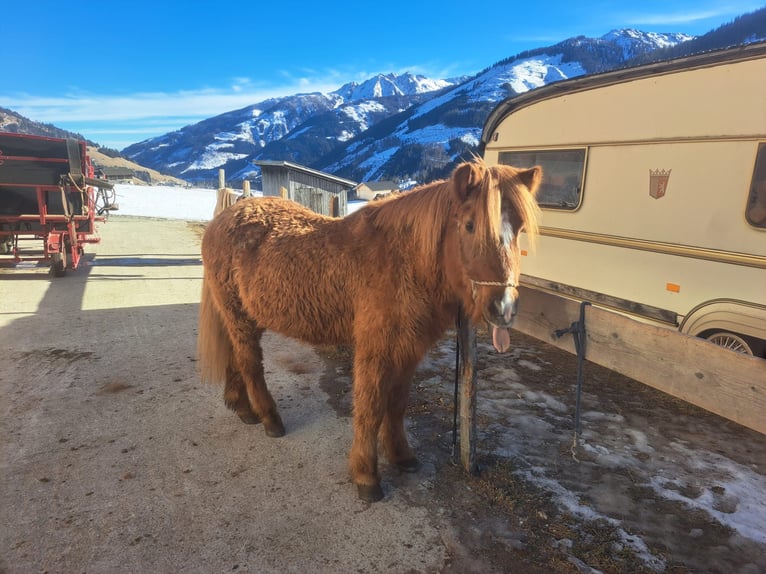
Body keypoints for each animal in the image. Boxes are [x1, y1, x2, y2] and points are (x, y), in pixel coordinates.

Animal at [200, 159, 544, 504]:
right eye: (470, 225)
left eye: (519, 230)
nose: (504, 308)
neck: (403, 260)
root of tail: (222, 219)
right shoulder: (375, 349)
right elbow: (371, 406)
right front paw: (366, 476)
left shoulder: (409, 349)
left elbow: (397, 404)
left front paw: (401, 456)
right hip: (239, 316)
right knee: (250, 364)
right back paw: (270, 419)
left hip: (243, 316)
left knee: (235, 356)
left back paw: (243, 408)